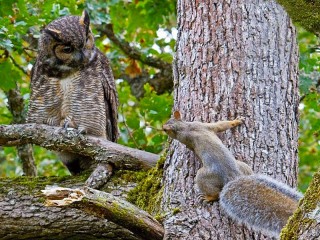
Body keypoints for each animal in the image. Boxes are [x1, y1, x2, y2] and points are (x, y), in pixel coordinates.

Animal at [162, 111, 302, 238]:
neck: (185, 127)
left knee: (215, 192)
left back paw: (209, 197)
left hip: (203, 175)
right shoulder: (203, 125)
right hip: (243, 166)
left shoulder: (188, 135)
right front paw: (236, 121)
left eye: (165, 129)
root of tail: (232, 176)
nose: (162, 129)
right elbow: (220, 125)